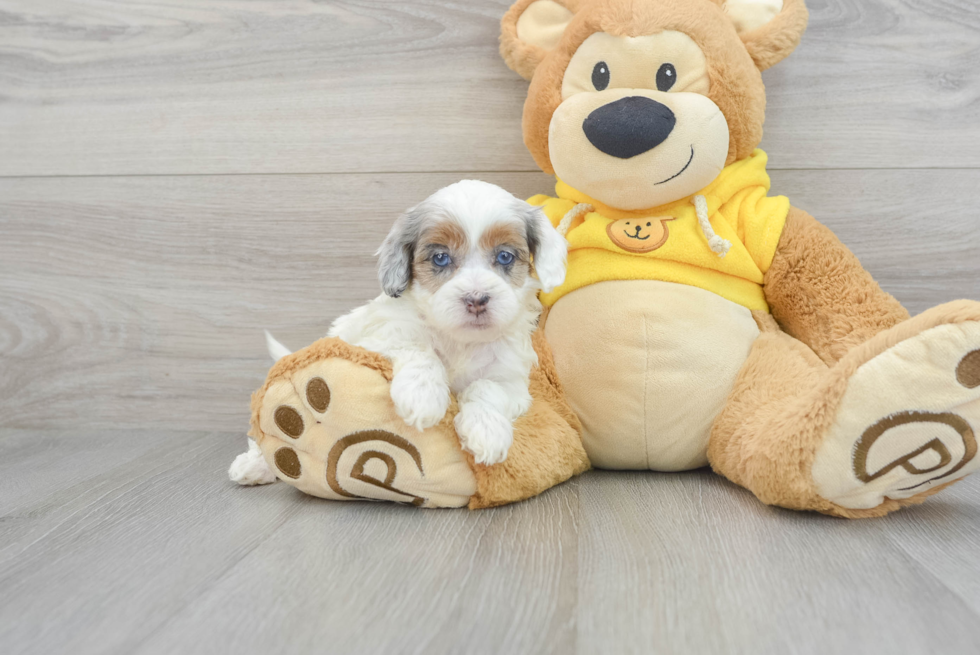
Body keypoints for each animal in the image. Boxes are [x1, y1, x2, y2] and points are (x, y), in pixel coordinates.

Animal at [230, 182, 568, 484]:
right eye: (440, 258)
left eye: (505, 257)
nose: (476, 299)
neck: (460, 340)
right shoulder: (379, 337)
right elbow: (417, 348)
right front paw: (423, 396)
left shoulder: (511, 380)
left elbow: (488, 388)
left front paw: (486, 431)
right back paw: (256, 465)